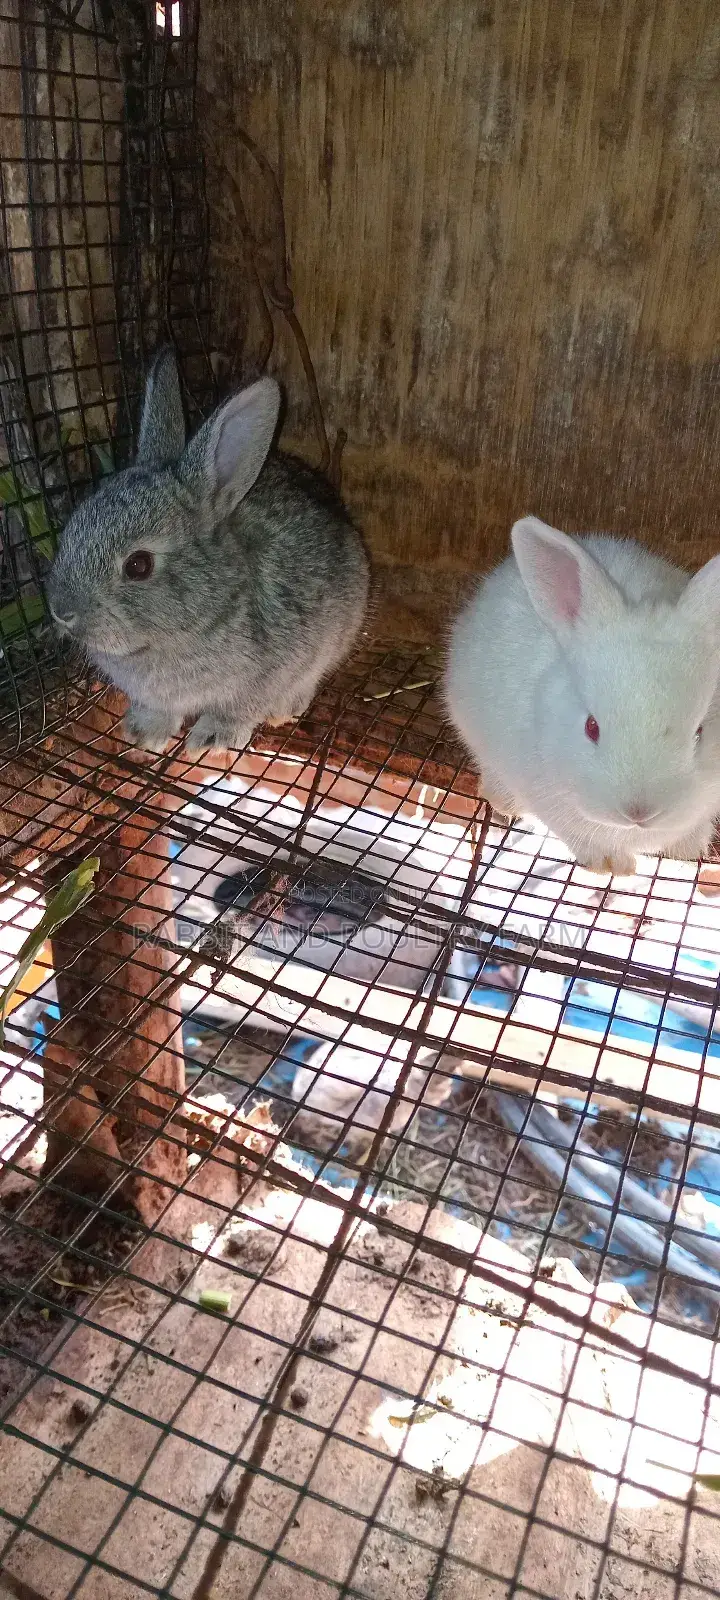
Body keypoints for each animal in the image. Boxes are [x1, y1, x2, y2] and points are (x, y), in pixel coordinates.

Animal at [47, 349, 369, 754]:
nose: (61, 611)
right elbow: (157, 710)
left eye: (138, 565)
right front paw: (143, 733)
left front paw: (212, 738)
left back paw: (284, 710)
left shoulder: (271, 673)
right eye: (75, 522)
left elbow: (238, 709)